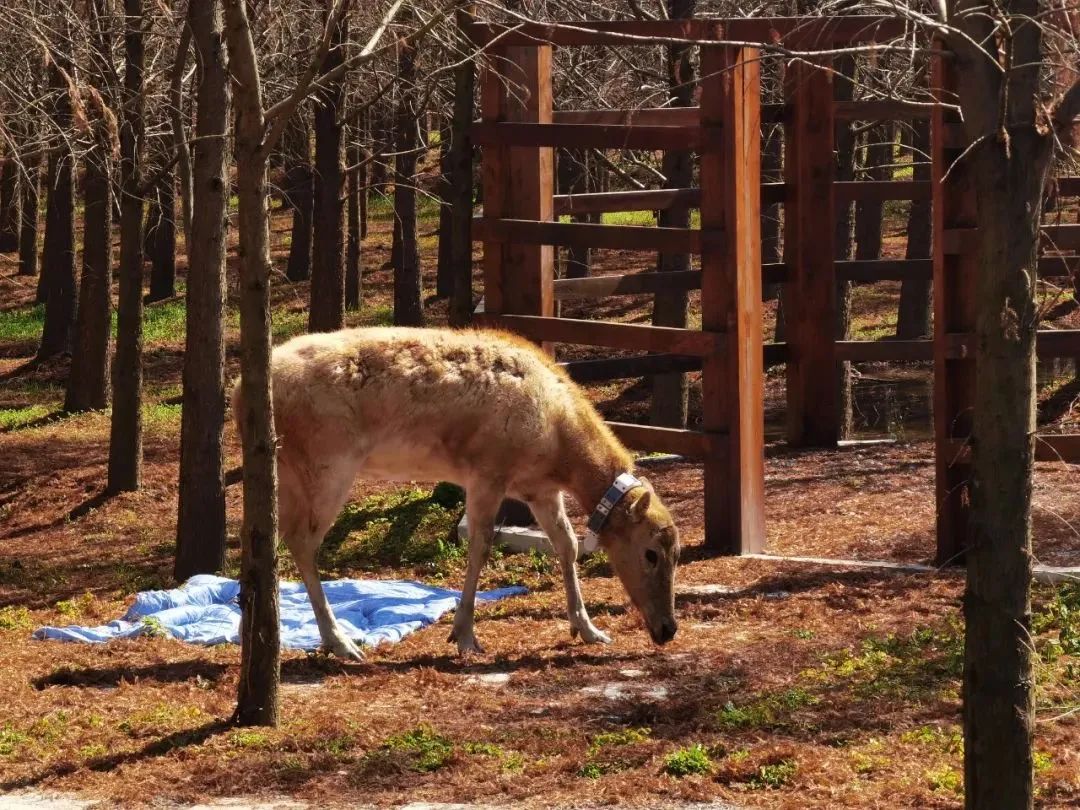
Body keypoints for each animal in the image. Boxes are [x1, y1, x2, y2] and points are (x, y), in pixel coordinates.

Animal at [234, 326, 682, 660]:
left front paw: (588, 629)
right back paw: (337, 640)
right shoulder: (487, 471)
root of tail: (239, 393)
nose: (667, 629)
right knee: (302, 540)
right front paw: (464, 634)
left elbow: (567, 543)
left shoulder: (536, 488)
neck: (559, 448)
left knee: (261, 536)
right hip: (329, 463)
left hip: (285, 469)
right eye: (651, 553)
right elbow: (480, 545)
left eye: (676, 553)